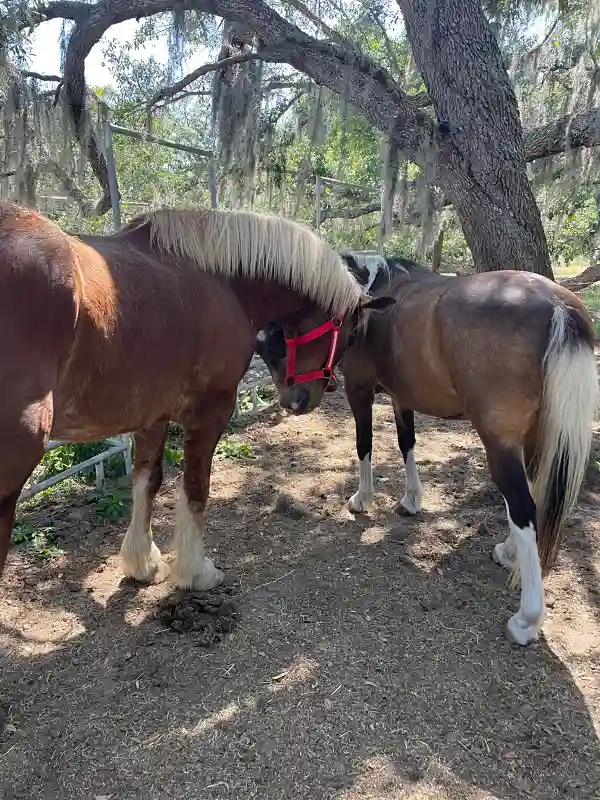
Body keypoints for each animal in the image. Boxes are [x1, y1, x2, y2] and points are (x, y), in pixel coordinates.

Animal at [0, 203, 394, 591]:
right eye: (350, 335)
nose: (303, 398)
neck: (223, 283)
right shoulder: (211, 410)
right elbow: (195, 487)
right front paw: (196, 572)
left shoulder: (152, 415)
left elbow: (148, 481)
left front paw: (143, 563)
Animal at [255, 252, 598, 646]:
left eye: (292, 335)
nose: (294, 402)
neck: (368, 301)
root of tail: (557, 304)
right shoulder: (401, 395)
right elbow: (406, 443)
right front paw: (411, 500)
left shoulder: (360, 389)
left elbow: (364, 443)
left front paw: (362, 499)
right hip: (534, 434)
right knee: (533, 493)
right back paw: (510, 552)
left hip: (500, 443)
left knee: (522, 504)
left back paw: (527, 619)